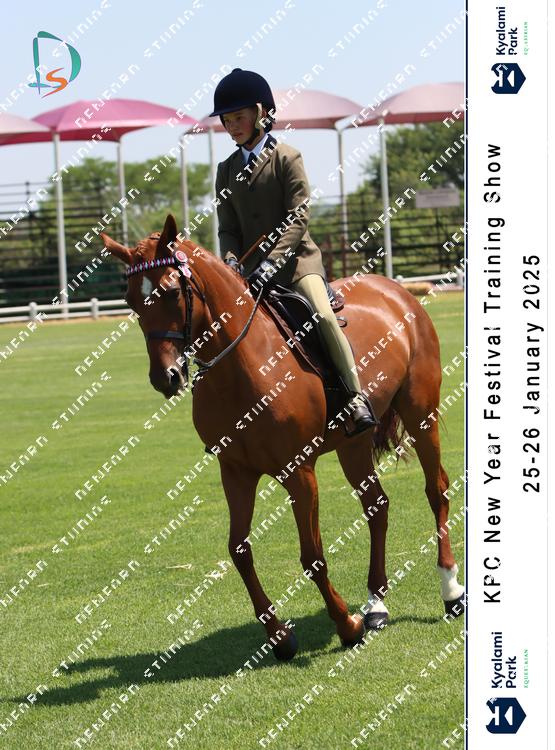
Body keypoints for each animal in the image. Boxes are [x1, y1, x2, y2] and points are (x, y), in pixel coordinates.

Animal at [100, 215, 464, 660]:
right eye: (131, 300)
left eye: (169, 291)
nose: (164, 378)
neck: (241, 367)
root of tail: (395, 290)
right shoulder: (235, 472)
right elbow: (238, 550)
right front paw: (279, 635)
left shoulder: (298, 471)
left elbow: (312, 556)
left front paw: (346, 625)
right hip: (353, 444)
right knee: (376, 506)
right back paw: (376, 605)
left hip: (420, 413)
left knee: (436, 490)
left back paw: (450, 591)